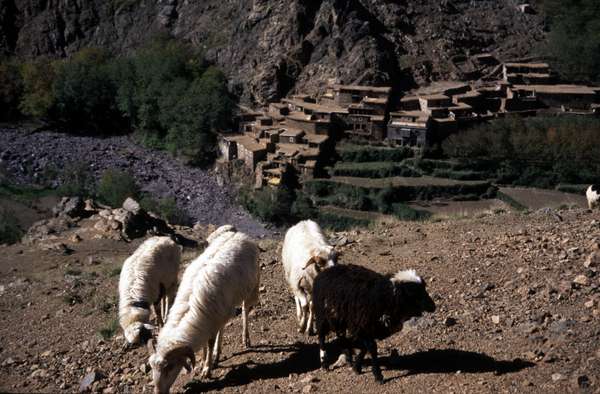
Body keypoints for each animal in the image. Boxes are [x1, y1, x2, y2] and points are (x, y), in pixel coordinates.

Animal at [147, 226, 258, 392]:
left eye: (170, 367)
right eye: (152, 367)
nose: (158, 392)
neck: (190, 308)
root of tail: (240, 234)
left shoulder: (210, 320)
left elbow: (210, 342)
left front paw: (207, 368)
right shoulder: (207, 320)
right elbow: (207, 343)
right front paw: (205, 361)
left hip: (250, 288)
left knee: (245, 311)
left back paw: (246, 338)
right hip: (223, 309)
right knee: (223, 326)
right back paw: (218, 354)